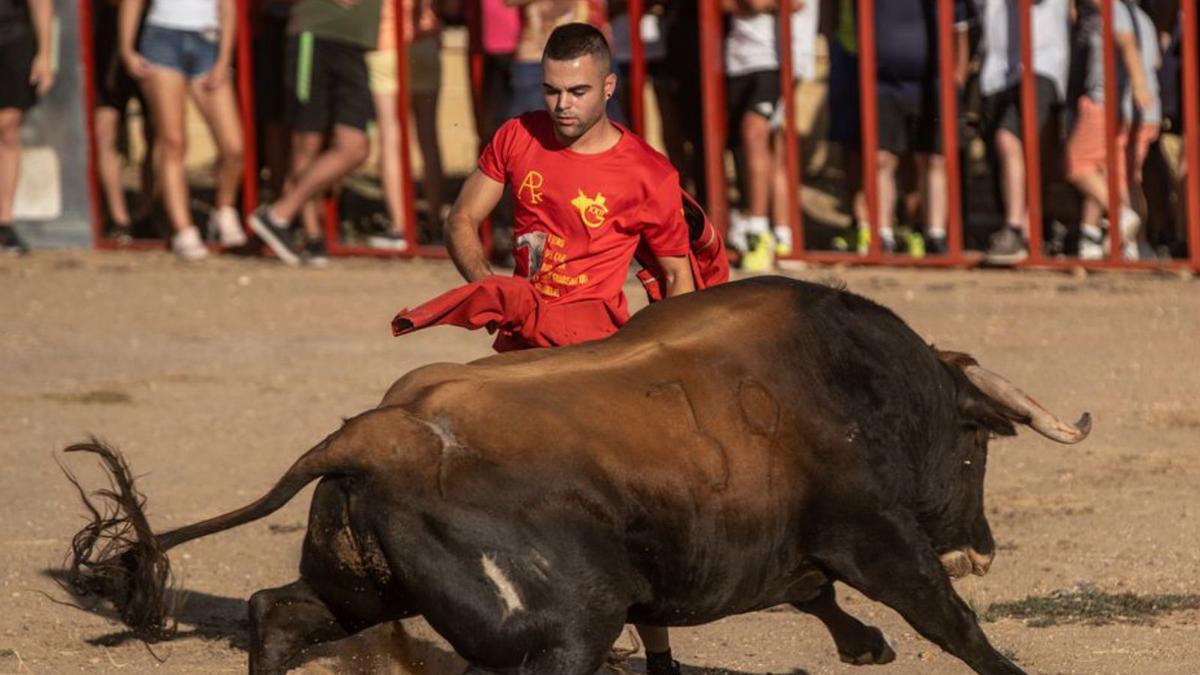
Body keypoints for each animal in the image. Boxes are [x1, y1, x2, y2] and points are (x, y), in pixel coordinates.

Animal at [60, 275, 1094, 672]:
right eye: (978, 447)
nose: (983, 548)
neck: (852, 378)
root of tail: (375, 437)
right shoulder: (872, 532)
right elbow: (944, 619)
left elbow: (814, 593)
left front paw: (864, 645)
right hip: (565, 626)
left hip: (361, 586)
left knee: (276, 612)